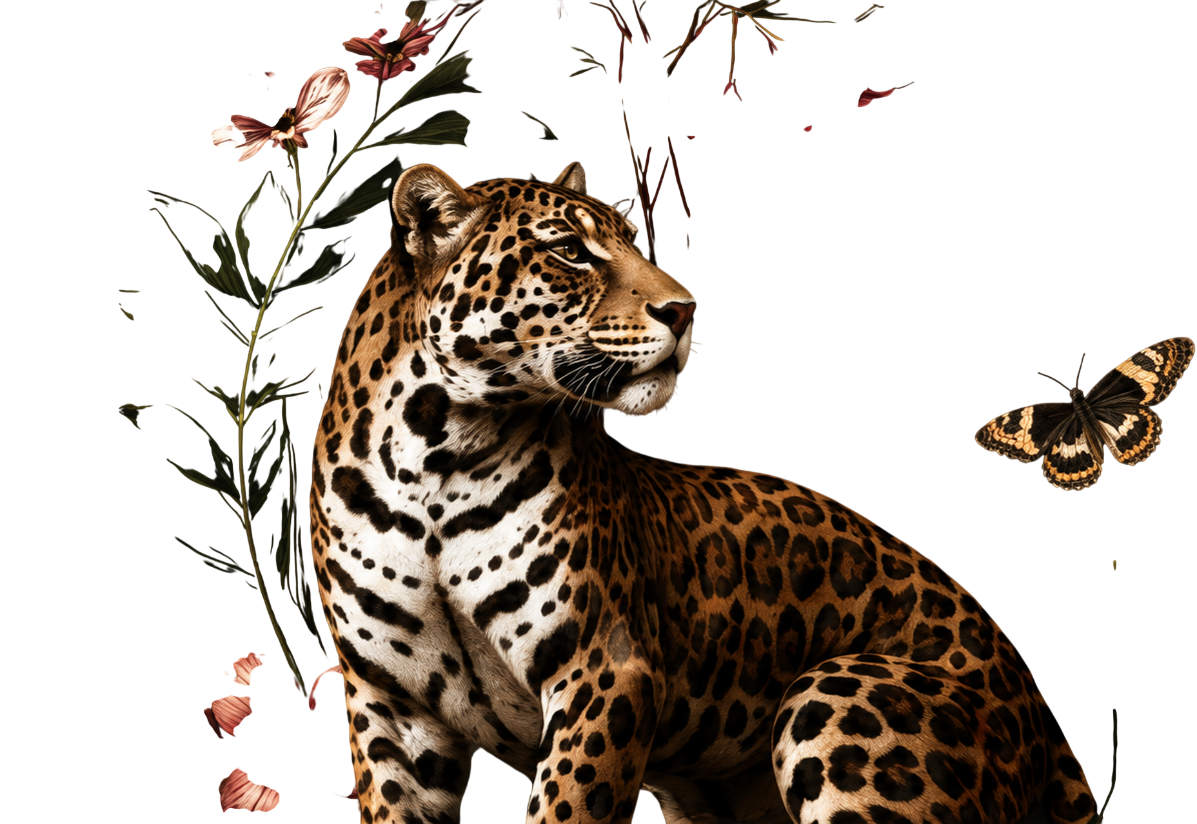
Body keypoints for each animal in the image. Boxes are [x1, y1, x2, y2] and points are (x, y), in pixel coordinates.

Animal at [308, 160, 1097, 823]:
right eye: (568, 251)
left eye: (633, 240)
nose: (685, 310)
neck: (436, 457)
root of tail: (1042, 709)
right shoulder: (391, 706)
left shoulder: (605, 668)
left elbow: (568, 807)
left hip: (837, 696)